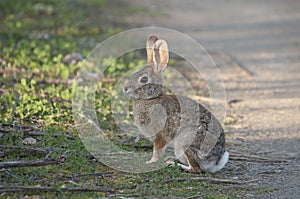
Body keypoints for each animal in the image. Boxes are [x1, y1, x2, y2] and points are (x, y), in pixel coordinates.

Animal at [123, 34, 229, 173]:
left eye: (144, 79)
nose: (125, 89)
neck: (152, 98)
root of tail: (215, 161)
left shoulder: (161, 134)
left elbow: (157, 150)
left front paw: (151, 161)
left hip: (183, 142)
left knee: (196, 169)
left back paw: (175, 165)